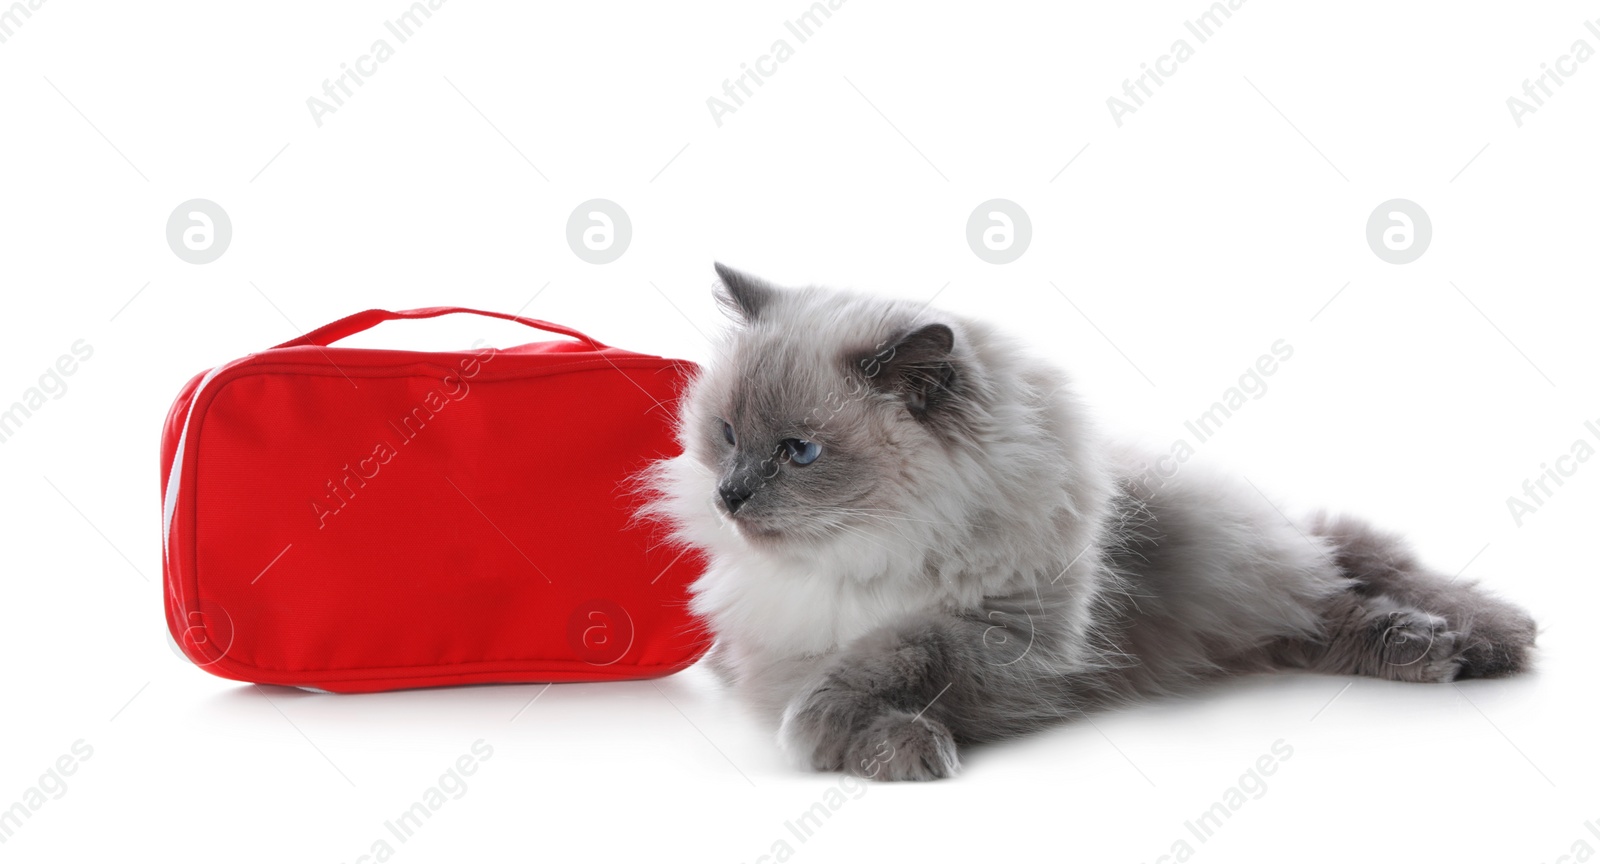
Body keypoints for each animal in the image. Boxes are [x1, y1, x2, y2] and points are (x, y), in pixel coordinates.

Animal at [636, 265, 1536, 784]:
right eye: (727, 436)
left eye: (800, 452)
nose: (730, 498)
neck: (878, 552)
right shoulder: (766, 656)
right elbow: (847, 685)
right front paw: (896, 750)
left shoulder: (1013, 642)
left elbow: (893, 650)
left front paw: (864, 735)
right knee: (1327, 605)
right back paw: (1455, 648)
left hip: (1244, 569)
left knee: (1347, 578)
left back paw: (1470, 641)